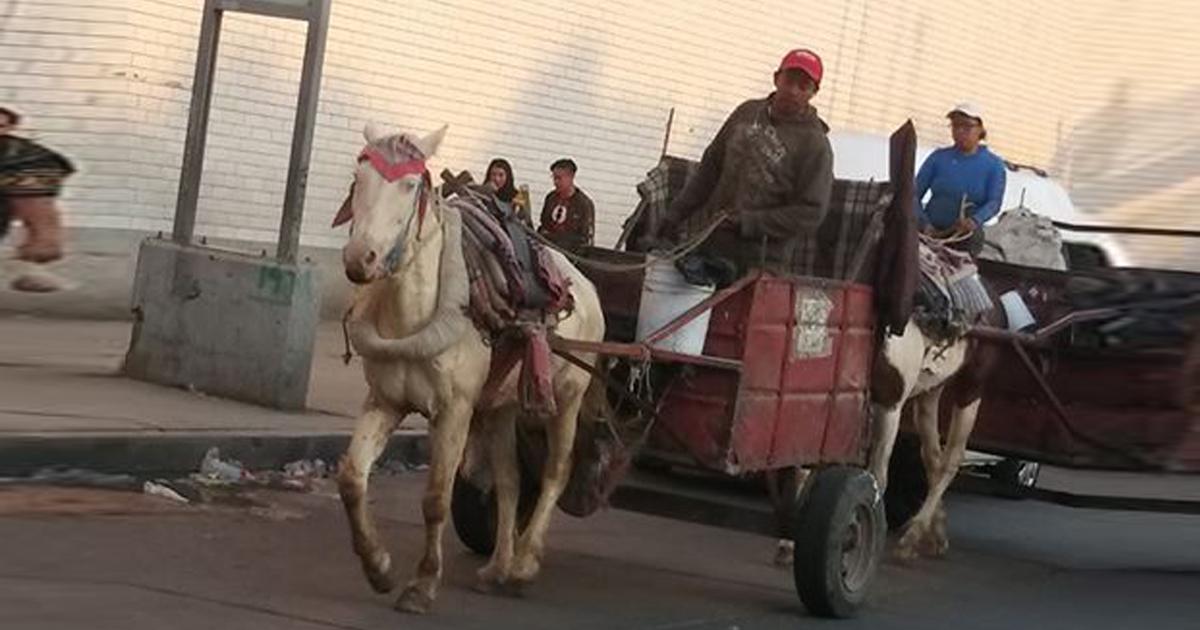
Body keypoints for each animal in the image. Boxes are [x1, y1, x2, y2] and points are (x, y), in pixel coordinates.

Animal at [333, 124, 604, 614]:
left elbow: (436, 498)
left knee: (556, 471)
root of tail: (585, 282)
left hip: (567, 398)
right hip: (501, 407)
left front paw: (421, 585)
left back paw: (524, 565)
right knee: (510, 480)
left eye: (410, 185)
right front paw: (378, 567)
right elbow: (351, 479)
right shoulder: (385, 401)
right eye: (357, 178)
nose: (360, 259)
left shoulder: (455, 411)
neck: (414, 310)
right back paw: (497, 566)